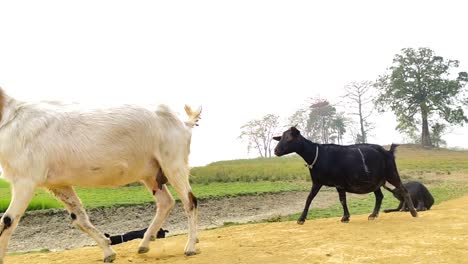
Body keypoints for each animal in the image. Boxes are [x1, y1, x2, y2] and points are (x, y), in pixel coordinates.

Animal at [0, 88, 201, 262]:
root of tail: (184, 122)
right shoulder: (58, 184)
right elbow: (79, 218)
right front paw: (108, 252)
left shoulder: (25, 180)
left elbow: (8, 220)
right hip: (151, 174)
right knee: (166, 202)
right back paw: (144, 244)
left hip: (173, 163)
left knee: (189, 201)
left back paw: (190, 247)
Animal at [272, 127, 418, 224]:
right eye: (281, 138)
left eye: (289, 138)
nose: (276, 150)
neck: (316, 155)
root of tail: (388, 152)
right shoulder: (317, 182)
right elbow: (309, 198)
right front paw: (301, 219)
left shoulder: (339, 183)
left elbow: (342, 200)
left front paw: (345, 217)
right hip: (374, 180)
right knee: (379, 196)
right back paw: (373, 215)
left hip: (391, 173)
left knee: (403, 190)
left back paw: (413, 212)